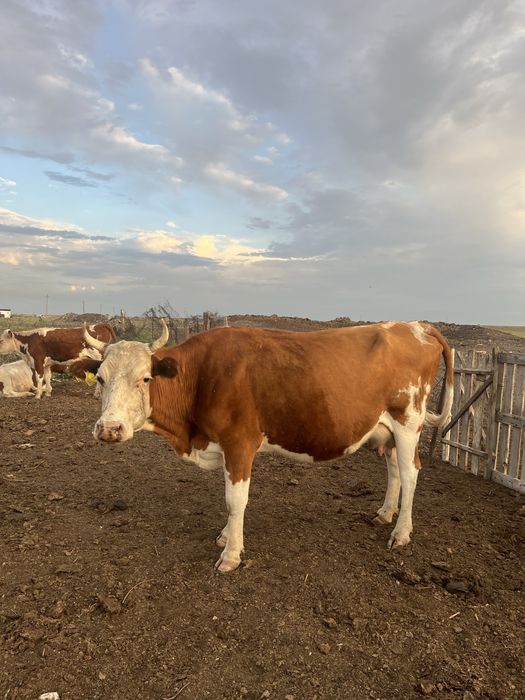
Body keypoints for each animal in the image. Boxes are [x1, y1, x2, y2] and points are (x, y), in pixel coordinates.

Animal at [78, 319, 453, 573]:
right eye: (101, 379)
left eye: (144, 378)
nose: (109, 429)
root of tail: (413, 325)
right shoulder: (226, 449)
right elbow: (230, 498)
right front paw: (226, 536)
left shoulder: (240, 442)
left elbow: (235, 500)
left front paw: (231, 554)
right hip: (386, 429)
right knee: (394, 471)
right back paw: (385, 514)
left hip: (408, 421)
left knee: (410, 472)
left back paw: (401, 533)